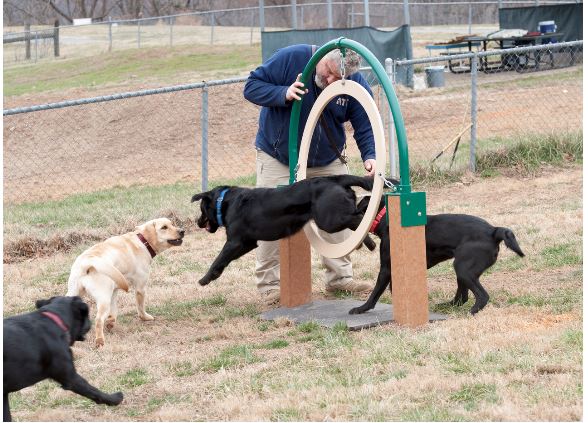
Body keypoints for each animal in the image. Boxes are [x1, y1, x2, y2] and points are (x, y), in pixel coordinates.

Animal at [193, 174, 376, 286]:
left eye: (201, 208)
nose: (197, 222)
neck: (225, 201)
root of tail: (336, 179)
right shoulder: (247, 243)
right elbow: (224, 260)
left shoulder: (234, 242)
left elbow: (219, 259)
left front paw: (205, 279)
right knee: (358, 217)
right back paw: (369, 243)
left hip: (329, 220)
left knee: (359, 217)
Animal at [350, 195, 524, 314]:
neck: (385, 218)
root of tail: (493, 231)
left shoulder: (386, 268)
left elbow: (375, 293)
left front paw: (361, 308)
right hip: (462, 270)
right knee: (462, 298)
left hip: (463, 269)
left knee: (482, 296)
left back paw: (472, 311)